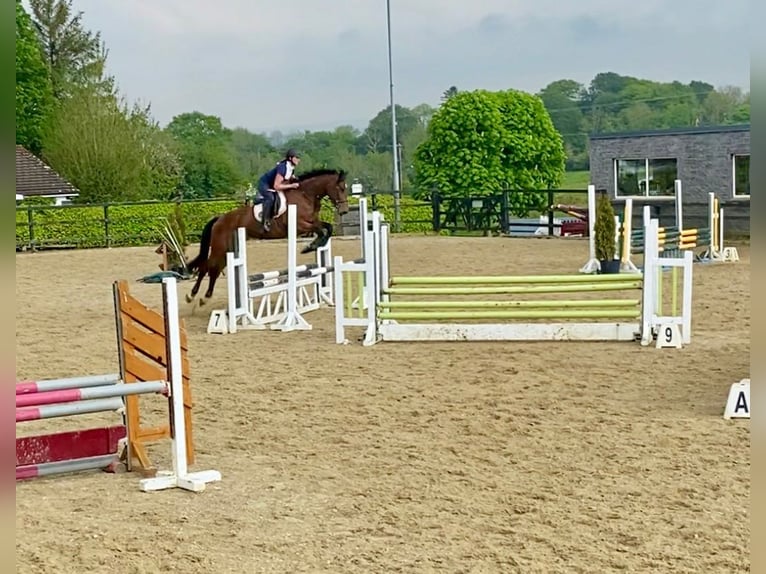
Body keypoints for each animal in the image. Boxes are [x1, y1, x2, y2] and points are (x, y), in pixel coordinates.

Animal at [186, 170, 352, 308]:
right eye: (340, 188)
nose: (345, 211)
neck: (305, 195)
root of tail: (219, 218)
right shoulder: (300, 226)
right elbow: (321, 230)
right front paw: (309, 247)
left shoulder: (312, 222)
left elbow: (327, 228)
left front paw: (314, 245)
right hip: (219, 247)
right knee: (207, 267)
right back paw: (193, 295)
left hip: (229, 250)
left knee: (214, 268)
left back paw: (203, 297)